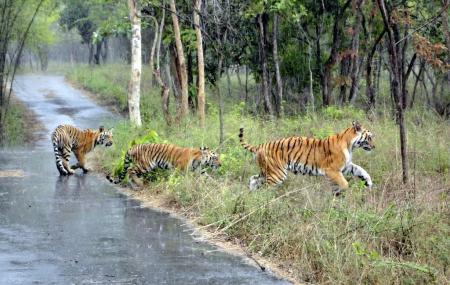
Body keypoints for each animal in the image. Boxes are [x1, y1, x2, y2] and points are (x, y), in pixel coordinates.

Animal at [241, 121, 374, 194]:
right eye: (370, 137)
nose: (374, 146)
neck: (350, 145)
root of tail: (259, 145)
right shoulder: (332, 170)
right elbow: (344, 183)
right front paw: (340, 192)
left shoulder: (345, 166)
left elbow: (360, 170)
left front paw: (368, 182)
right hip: (277, 174)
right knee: (266, 189)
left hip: (267, 171)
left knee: (253, 179)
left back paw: (251, 194)